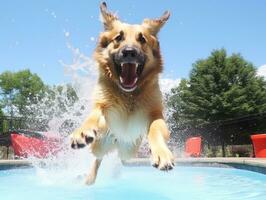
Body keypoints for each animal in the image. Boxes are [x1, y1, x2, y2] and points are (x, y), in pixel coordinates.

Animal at [70, 2, 175, 185]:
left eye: (142, 39)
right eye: (118, 37)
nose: (129, 52)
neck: (129, 95)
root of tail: (116, 143)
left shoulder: (155, 114)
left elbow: (155, 128)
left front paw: (161, 153)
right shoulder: (102, 106)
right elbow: (93, 116)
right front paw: (82, 131)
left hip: (129, 150)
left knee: (121, 158)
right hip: (101, 145)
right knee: (98, 157)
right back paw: (89, 177)